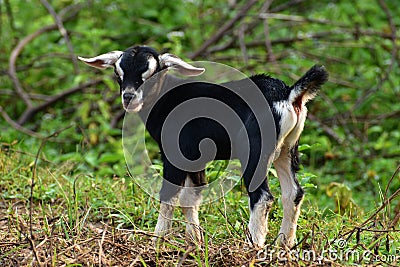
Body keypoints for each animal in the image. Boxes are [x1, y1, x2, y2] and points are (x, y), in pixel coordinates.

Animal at [79, 46, 328, 249]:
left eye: (151, 73)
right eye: (118, 74)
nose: (129, 97)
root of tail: (289, 95)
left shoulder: (176, 153)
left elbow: (169, 195)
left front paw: (156, 241)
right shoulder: (195, 157)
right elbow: (191, 197)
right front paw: (195, 241)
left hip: (256, 149)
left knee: (263, 196)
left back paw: (254, 244)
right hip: (287, 149)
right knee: (293, 193)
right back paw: (283, 244)